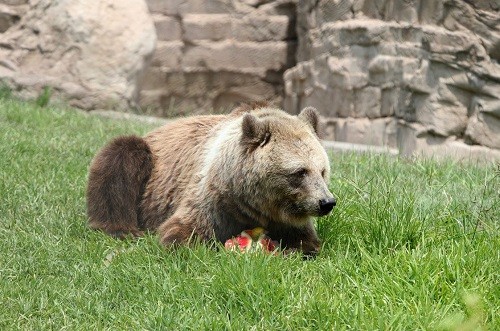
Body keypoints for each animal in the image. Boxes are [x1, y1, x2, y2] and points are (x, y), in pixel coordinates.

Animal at [87, 105, 336, 255]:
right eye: (300, 172)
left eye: (322, 171)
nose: (327, 202)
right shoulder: (213, 199)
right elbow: (183, 232)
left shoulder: (285, 218)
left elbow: (305, 240)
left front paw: (294, 249)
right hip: (148, 167)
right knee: (119, 159)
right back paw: (121, 229)